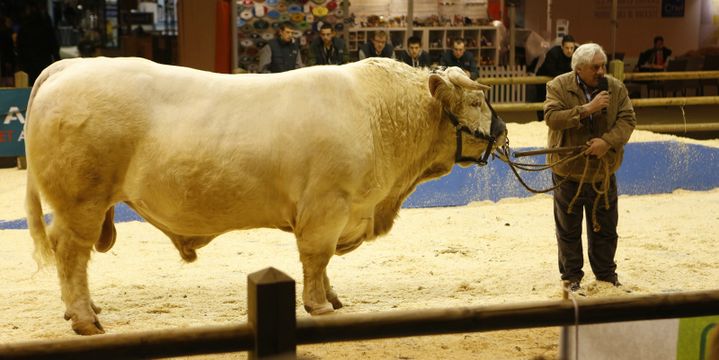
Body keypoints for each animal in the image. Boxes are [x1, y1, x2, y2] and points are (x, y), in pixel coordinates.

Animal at [23, 56, 506, 334]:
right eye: (476, 102)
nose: (503, 131)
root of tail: (70, 66)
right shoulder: (327, 206)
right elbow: (316, 257)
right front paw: (319, 305)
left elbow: (323, 265)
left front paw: (331, 297)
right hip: (81, 201)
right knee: (71, 252)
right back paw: (85, 319)